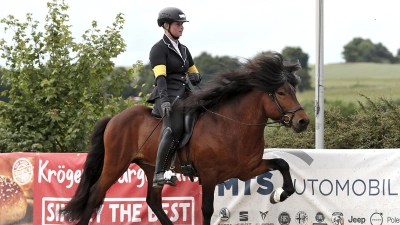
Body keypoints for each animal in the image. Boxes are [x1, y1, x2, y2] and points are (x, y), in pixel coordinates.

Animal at [60, 51, 310, 224]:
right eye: (281, 92)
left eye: (293, 90)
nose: (303, 121)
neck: (232, 125)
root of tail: (114, 118)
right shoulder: (209, 175)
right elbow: (207, 210)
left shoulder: (247, 169)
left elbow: (282, 163)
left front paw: (279, 195)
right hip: (116, 163)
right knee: (95, 193)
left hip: (151, 167)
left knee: (154, 201)